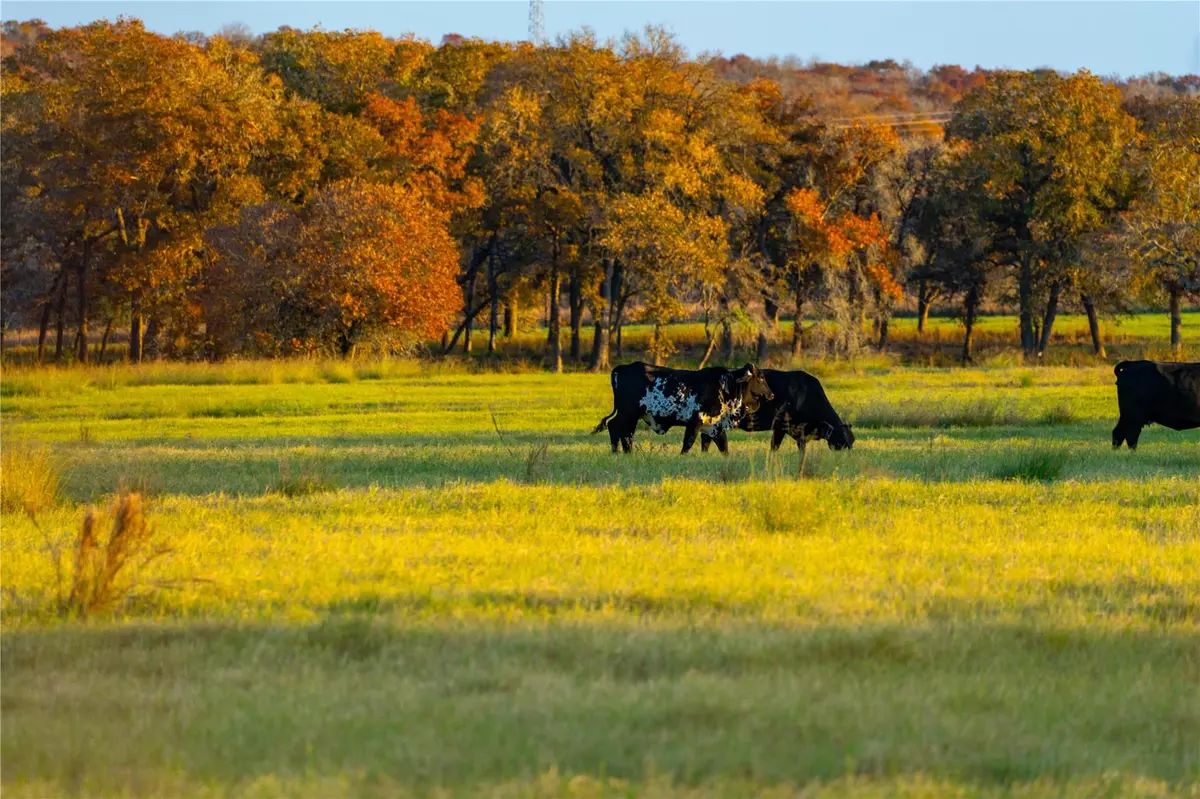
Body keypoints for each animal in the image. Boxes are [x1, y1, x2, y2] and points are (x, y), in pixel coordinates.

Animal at [592, 359, 777, 451]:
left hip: (632, 416)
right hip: (628, 413)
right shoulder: (695, 423)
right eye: (760, 378)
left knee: (624, 433)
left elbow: (723, 446)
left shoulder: (714, 427)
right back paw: (618, 452)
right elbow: (687, 444)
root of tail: (620, 368)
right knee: (616, 428)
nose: (771, 395)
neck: (725, 387)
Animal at [700, 367, 859, 460]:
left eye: (852, 442)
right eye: (842, 442)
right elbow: (774, 446)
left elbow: (802, 448)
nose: (849, 457)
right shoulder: (780, 425)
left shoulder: (800, 432)